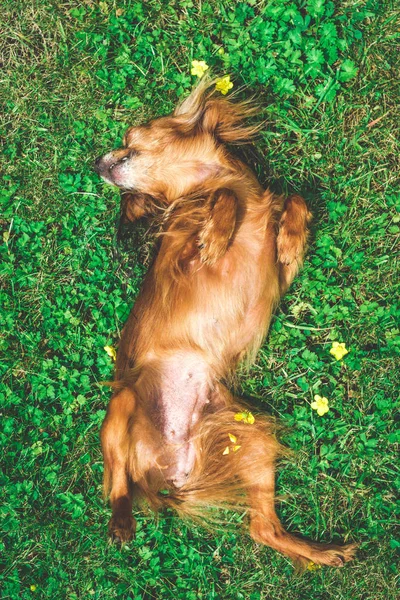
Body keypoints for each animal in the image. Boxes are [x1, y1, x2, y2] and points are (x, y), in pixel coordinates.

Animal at [94, 78, 356, 568]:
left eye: (128, 136)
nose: (95, 161)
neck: (209, 178)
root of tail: (173, 470)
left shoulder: (280, 275)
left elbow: (296, 198)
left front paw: (290, 238)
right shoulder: (180, 261)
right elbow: (225, 201)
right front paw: (217, 234)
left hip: (254, 438)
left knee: (263, 529)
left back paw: (321, 551)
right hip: (122, 405)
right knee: (118, 484)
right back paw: (120, 522)